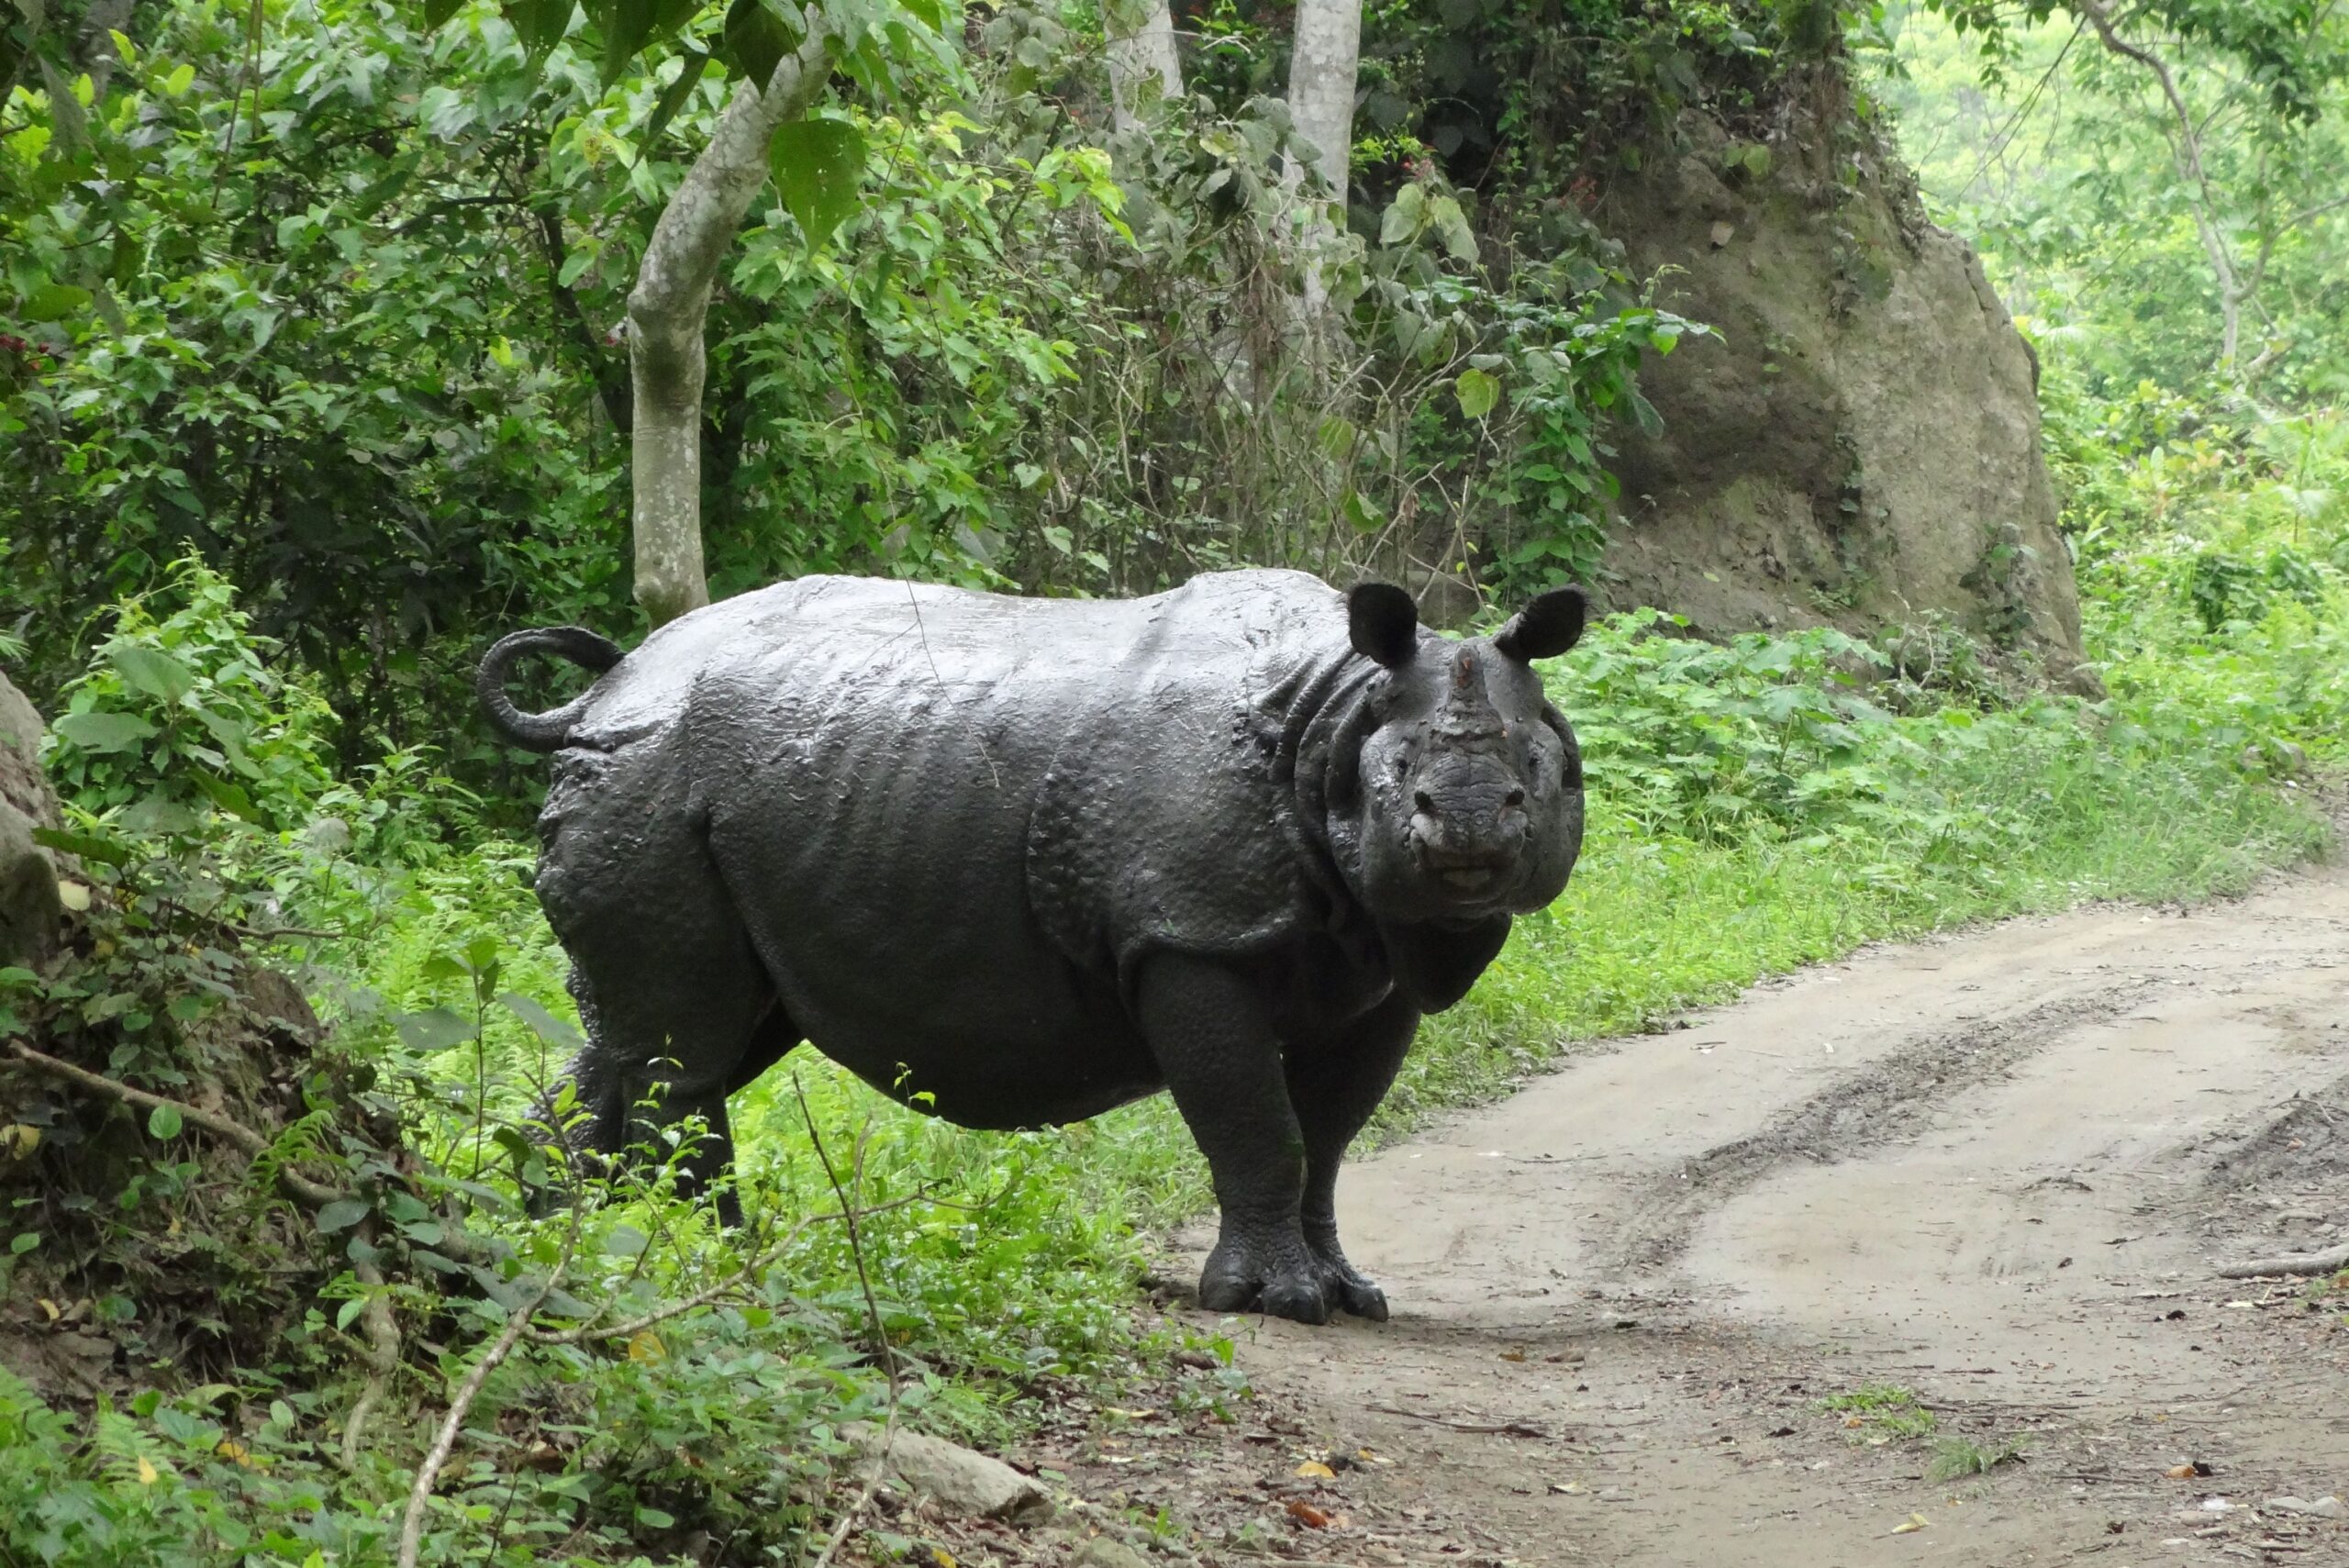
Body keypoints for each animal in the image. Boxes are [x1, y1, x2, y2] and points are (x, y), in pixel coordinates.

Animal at [478, 569, 1587, 1323]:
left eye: (1537, 767)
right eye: (1400, 777)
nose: (1470, 828)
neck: (1335, 710)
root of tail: (610, 688)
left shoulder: (1377, 956)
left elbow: (1330, 1135)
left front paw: (1350, 1291)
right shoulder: (1186, 936)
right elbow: (1255, 1121)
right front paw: (1274, 1301)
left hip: (714, 791)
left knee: (667, 1036)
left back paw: (550, 1227)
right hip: (653, 782)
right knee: (686, 1048)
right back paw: (708, 1257)